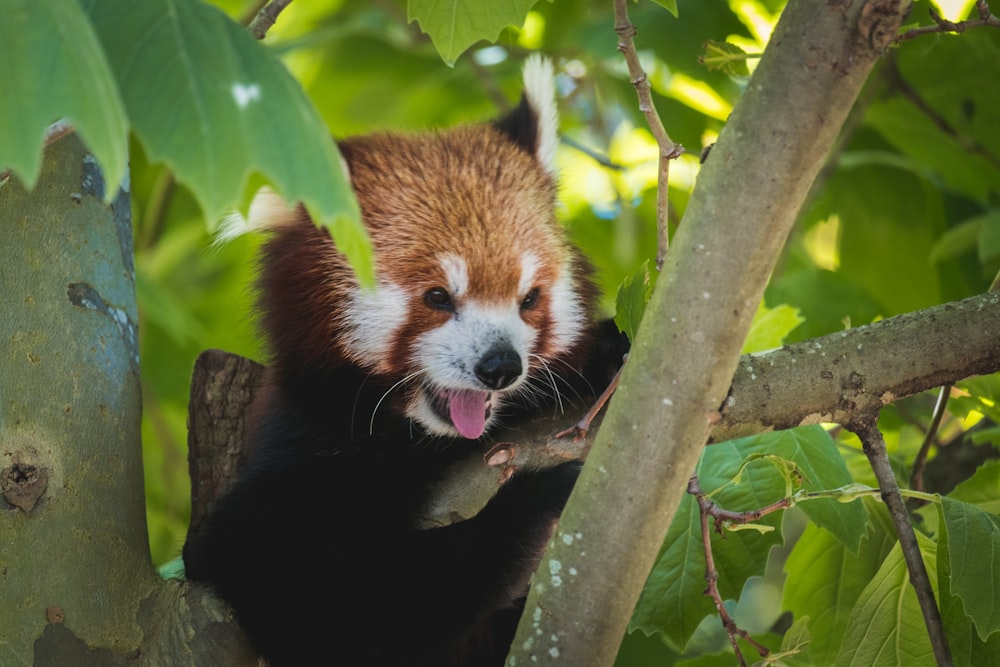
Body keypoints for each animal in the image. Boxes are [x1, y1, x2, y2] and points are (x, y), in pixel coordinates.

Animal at [182, 58, 624, 667]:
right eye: (438, 297)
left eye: (528, 298)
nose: (500, 366)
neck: (424, 439)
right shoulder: (302, 456)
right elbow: (338, 608)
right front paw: (534, 502)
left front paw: (606, 354)